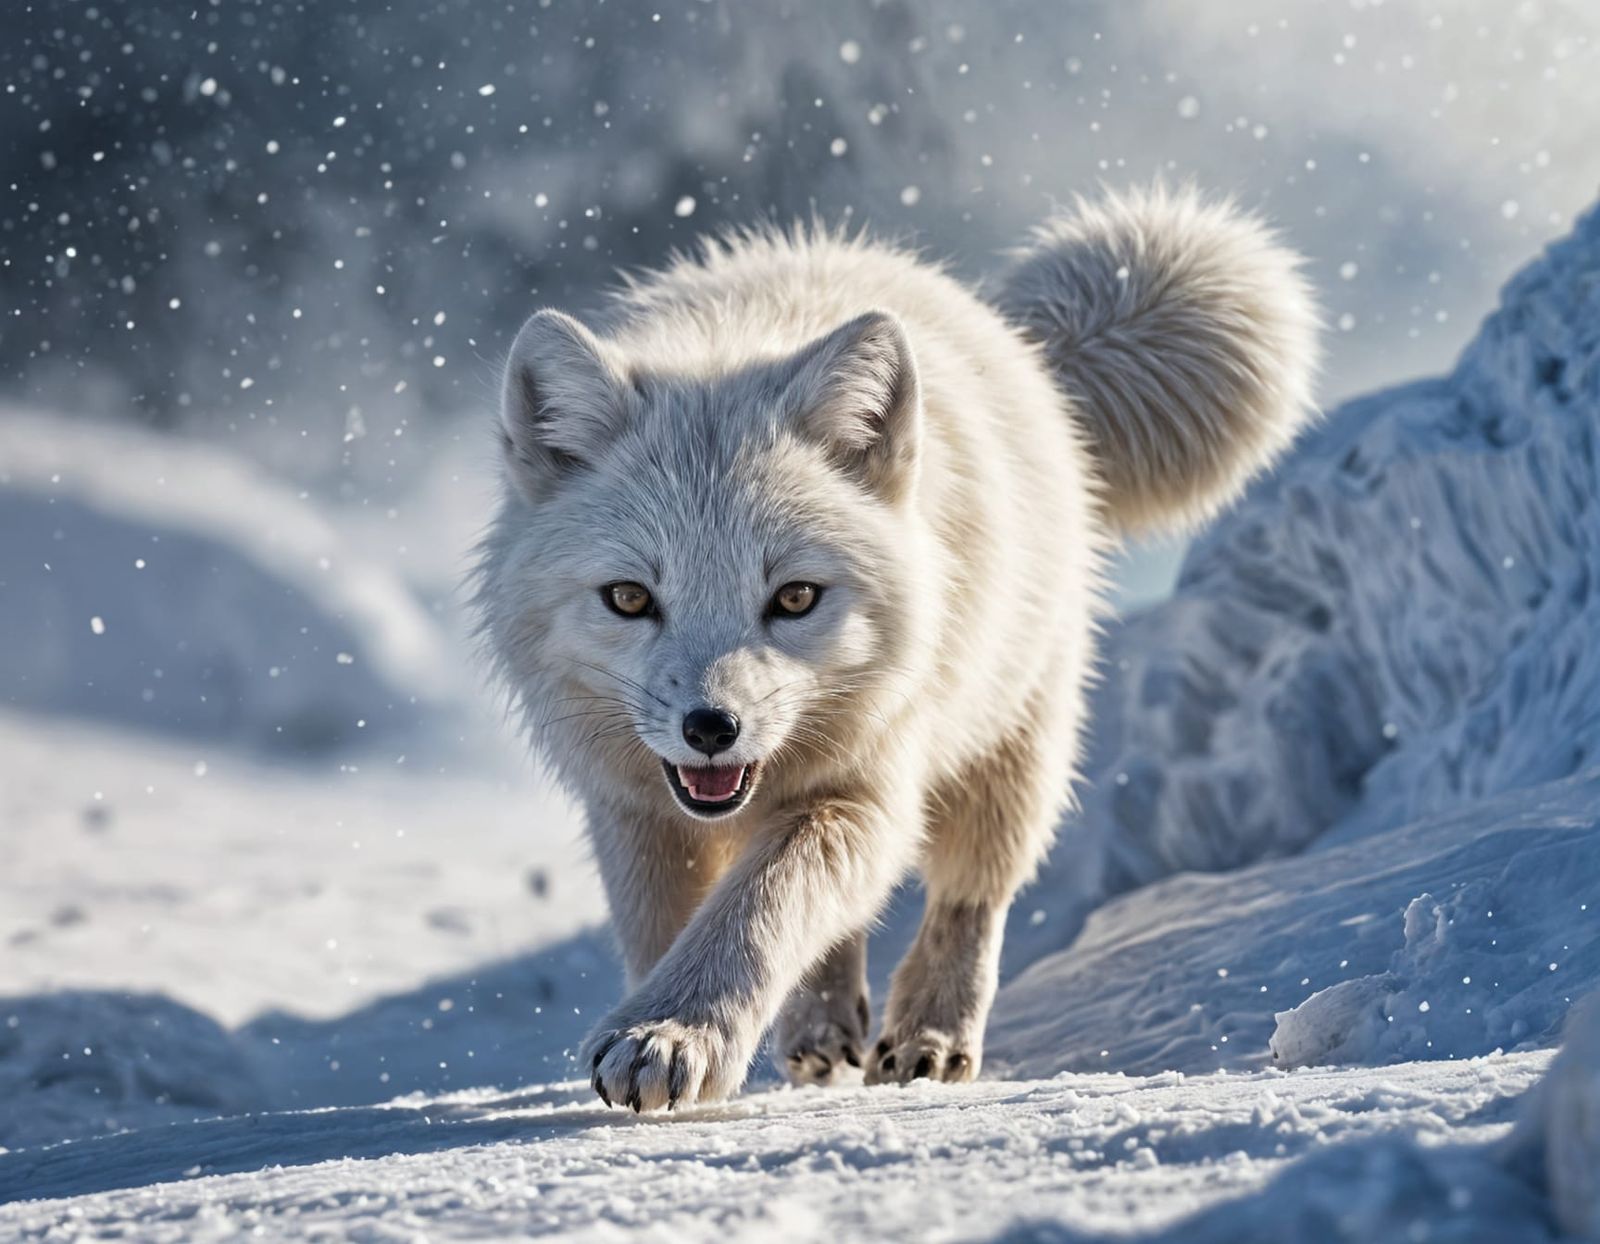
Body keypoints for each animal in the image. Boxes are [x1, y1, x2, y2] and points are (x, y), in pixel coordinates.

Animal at [473, 185, 1319, 1111]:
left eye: (794, 597)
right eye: (629, 598)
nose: (711, 728)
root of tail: (1020, 339)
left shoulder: (870, 787)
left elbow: (761, 903)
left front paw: (673, 1033)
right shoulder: (632, 809)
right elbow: (687, 923)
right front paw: (673, 1022)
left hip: (1010, 746)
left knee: (969, 899)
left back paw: (930, 1038)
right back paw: (820, 1032)